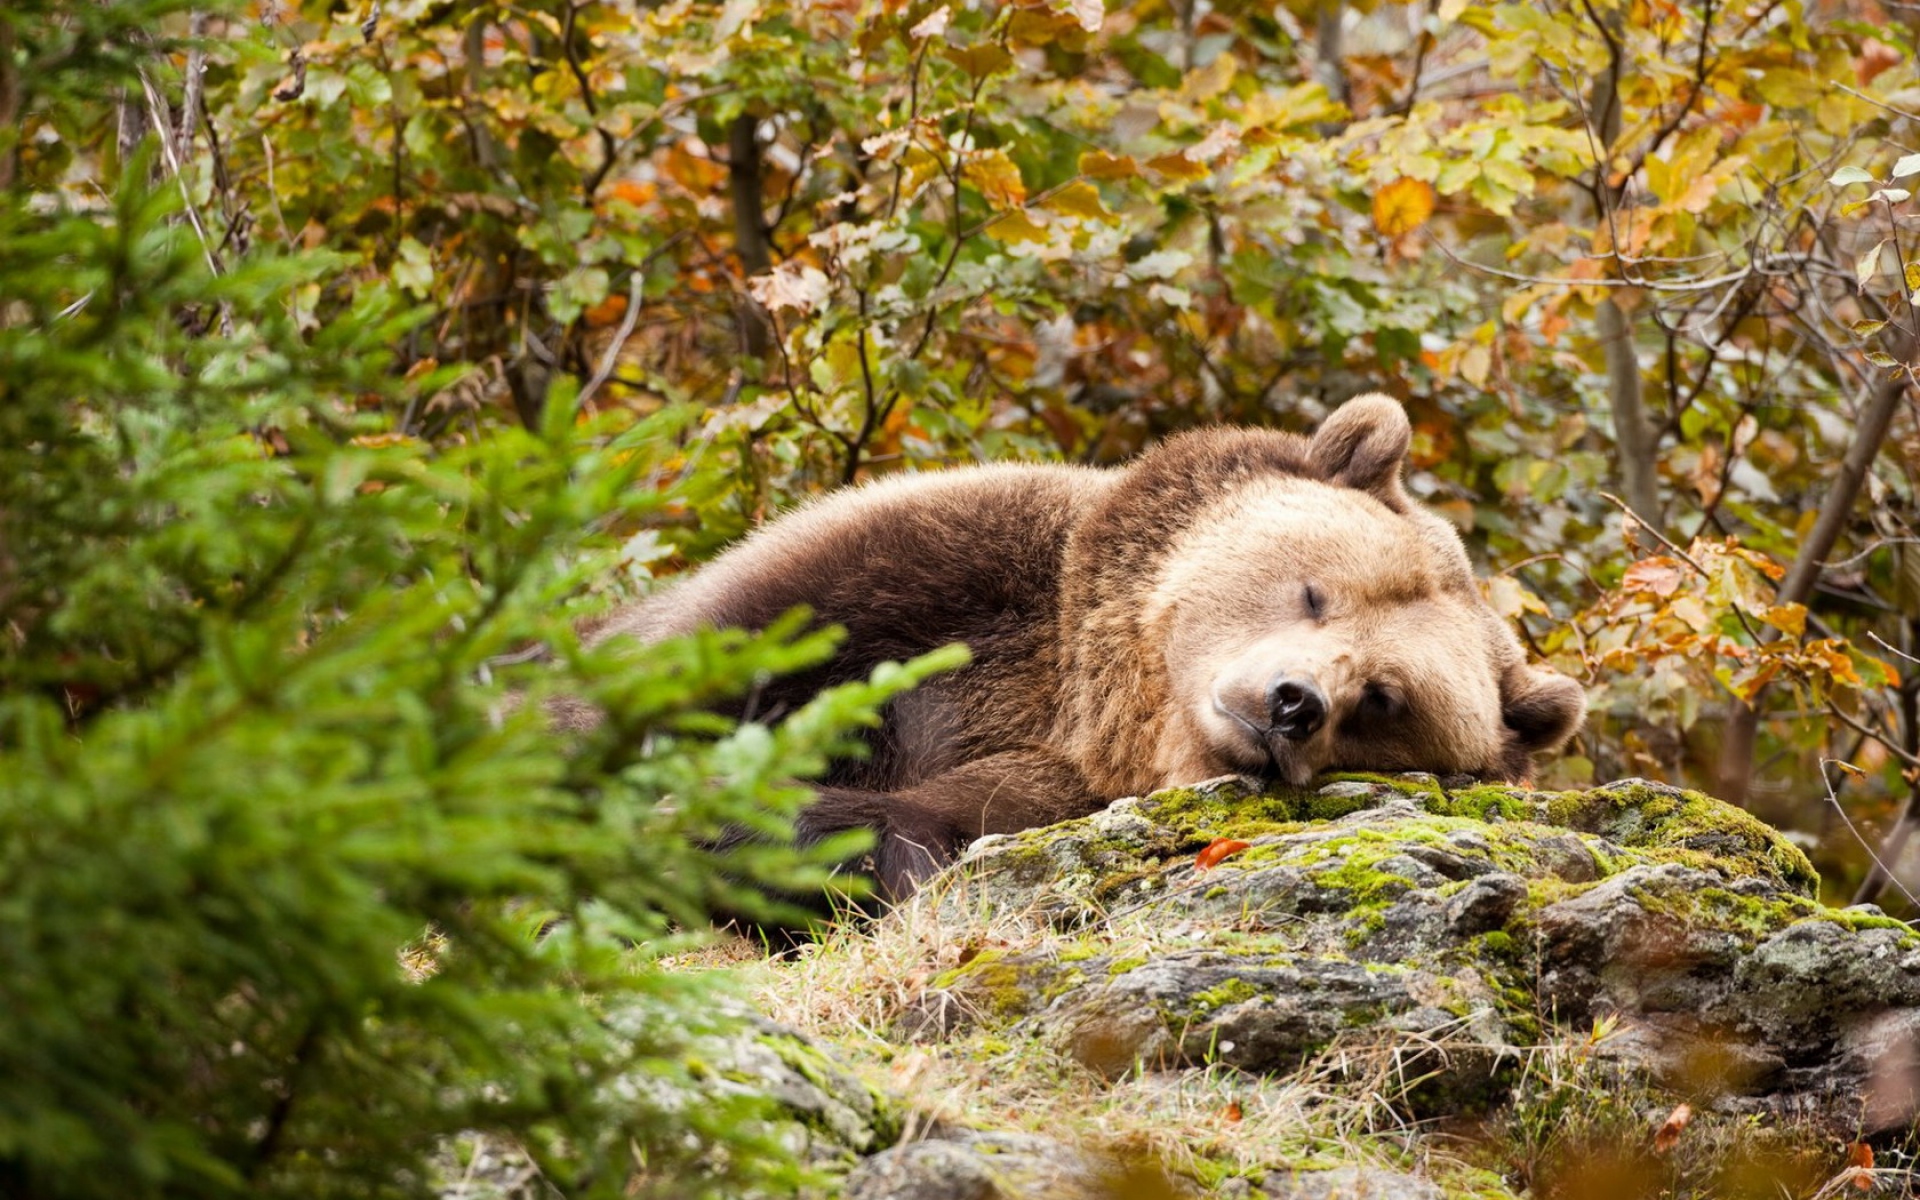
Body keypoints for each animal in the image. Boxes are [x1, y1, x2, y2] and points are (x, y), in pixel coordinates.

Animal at [576, 395, 1582, 898]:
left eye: (1384, 696)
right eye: (1316, 591)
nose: (1293, 703)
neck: (1088, 694)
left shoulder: (1058, 788)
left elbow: (908, 828)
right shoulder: (940, 570)